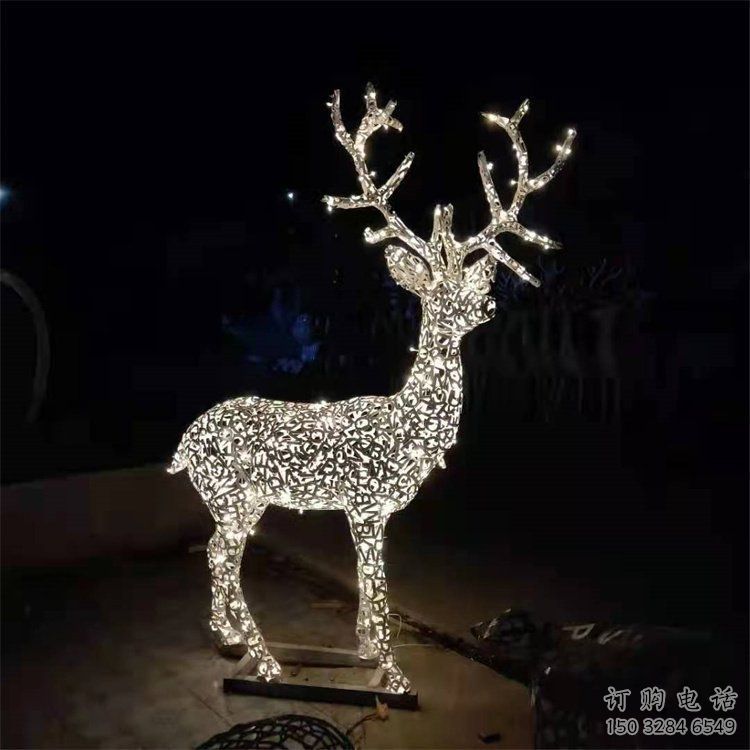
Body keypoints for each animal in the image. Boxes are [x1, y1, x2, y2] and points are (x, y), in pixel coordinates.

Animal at [167, 84, 575, 694]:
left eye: (467, 279)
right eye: (436, 289)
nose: (486, 304)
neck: (406, 424)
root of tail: (184, 444)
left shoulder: (367, 510)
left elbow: (367, 583)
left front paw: (365, 652)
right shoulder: (365, 505)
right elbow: (377, 584)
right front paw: (394, 673)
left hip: (236, 500)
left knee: (217, 554)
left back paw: (230, 638)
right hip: (234, 496)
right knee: (223, 558)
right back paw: (266, 663)